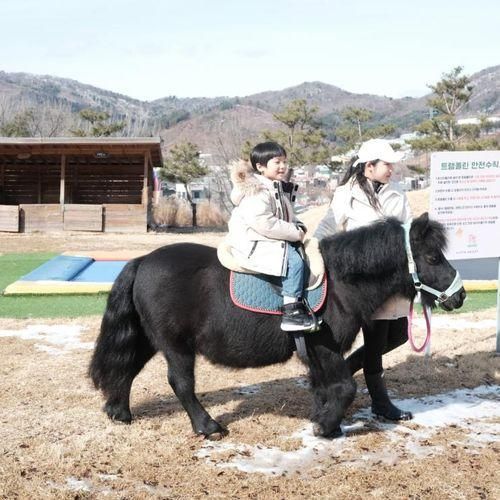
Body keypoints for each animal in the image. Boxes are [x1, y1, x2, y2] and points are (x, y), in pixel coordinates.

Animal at [89, 213, 464, 440]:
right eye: (433, 257)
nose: (459, 295)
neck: (341, 282)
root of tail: (142, 261)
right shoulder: (325, 346)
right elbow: (344, 387)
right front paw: (325, 427)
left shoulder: (316, 351)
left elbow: (326, 386)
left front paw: (324, 419)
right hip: (175, 345)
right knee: (180, 383)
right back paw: (208, 426)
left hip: (150, 339)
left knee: (125, 368)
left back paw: (119, 411)